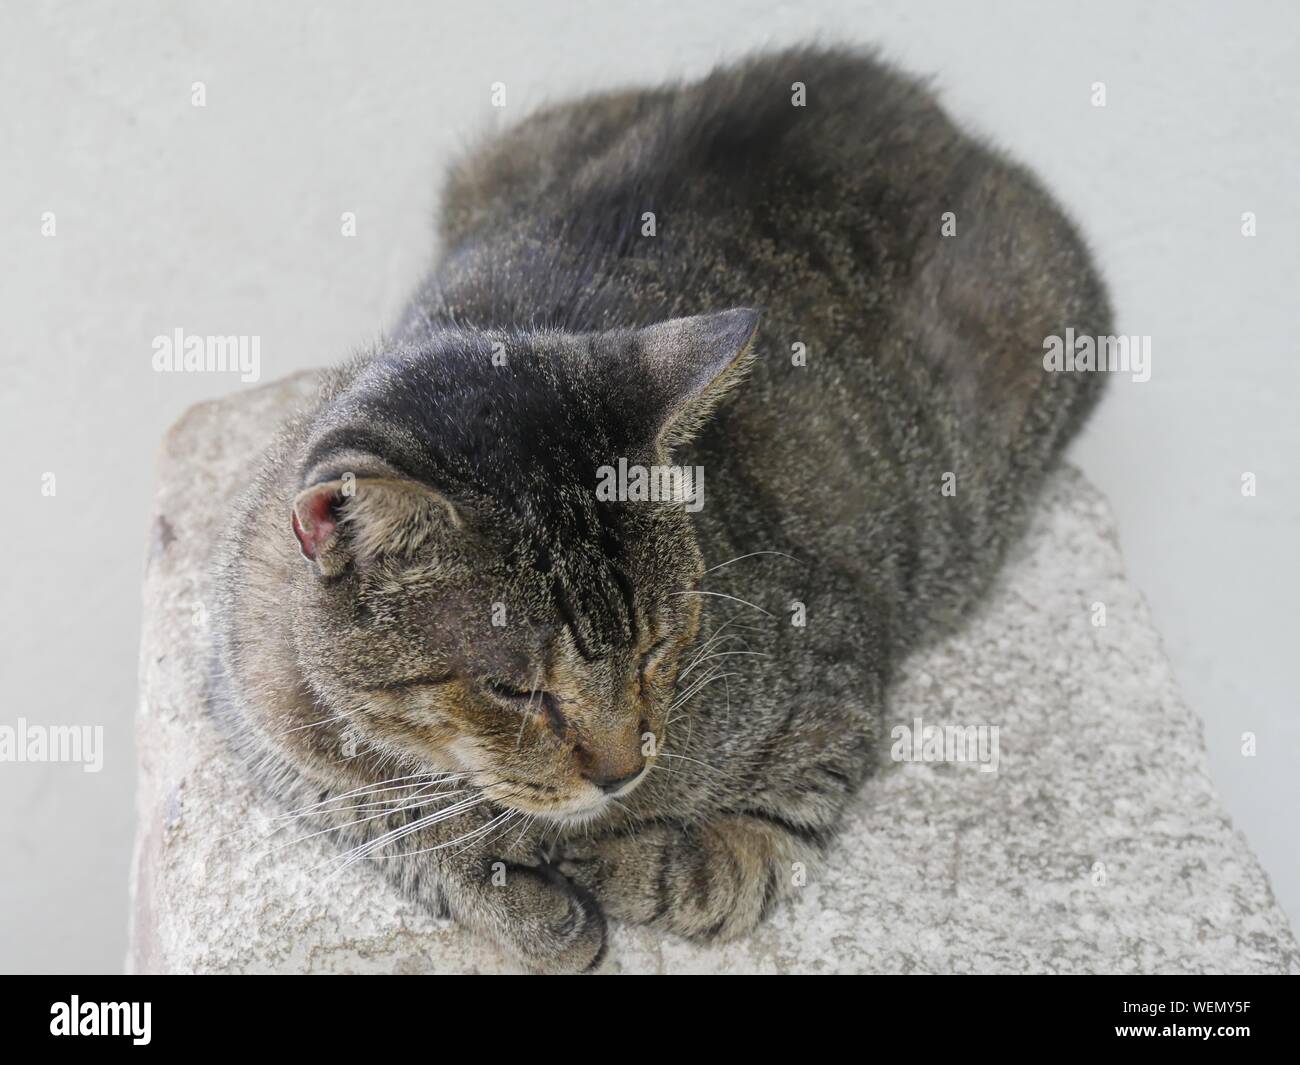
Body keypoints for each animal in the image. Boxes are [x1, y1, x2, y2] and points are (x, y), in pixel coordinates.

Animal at [210, 43, 1107, 972]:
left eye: (659, 643)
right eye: (512, 688)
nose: (619, 772)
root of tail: (907, 95)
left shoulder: (836, 668)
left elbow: (739, 862)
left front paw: (602, 859)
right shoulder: (260, 731)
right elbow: (390, 818)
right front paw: (515, 886)